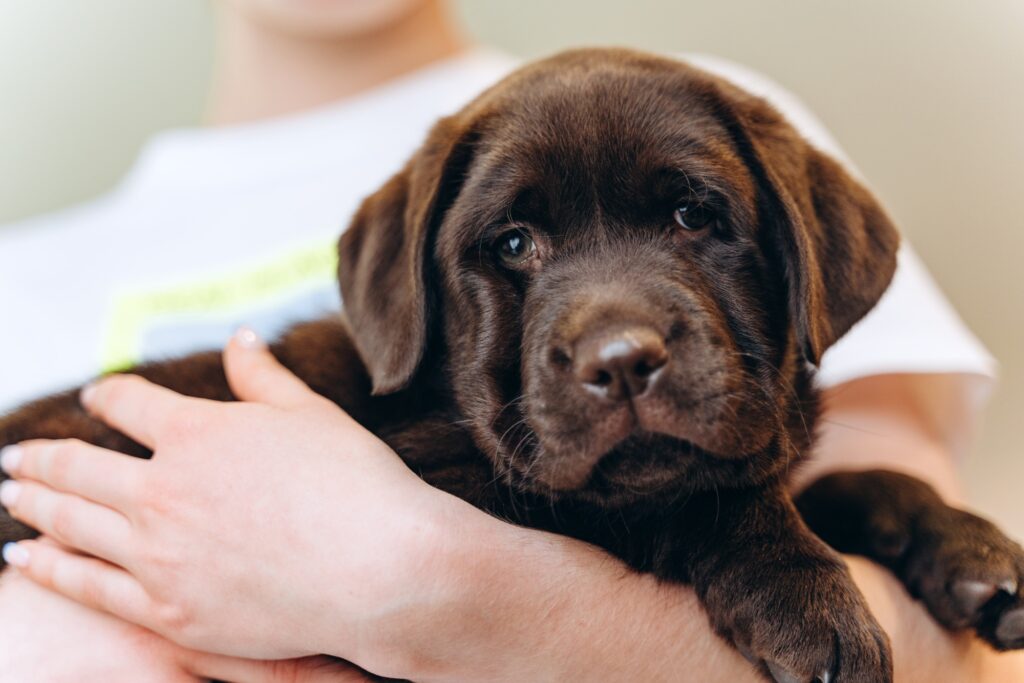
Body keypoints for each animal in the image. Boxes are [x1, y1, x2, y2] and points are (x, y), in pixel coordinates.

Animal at [2, 49, 1024, 683]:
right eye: (514, 242)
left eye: (696, 216)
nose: (621, 362)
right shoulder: (479, 487)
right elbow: (698, 498)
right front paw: (805, 591)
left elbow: (836, 476)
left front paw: (962, 541)